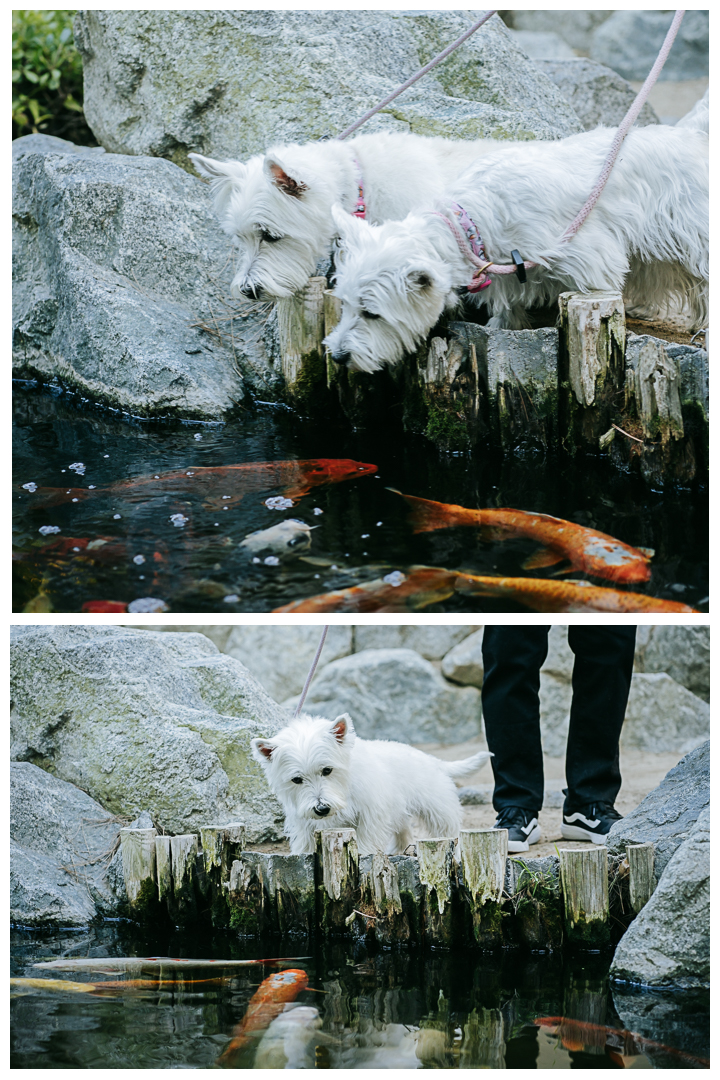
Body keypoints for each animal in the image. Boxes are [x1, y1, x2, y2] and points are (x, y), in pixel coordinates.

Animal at [250, 712, 492, 855]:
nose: (321, 809)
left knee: (449, 828)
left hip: (436, 807)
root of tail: (431, 759)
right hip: (400, 809)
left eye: (327, 770)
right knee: (404, 829)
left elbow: (367, 839)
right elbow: (305, 843)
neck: (345, 788)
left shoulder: (371, 813)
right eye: (297, 780)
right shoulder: (303, 821)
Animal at [325, 123, 708, 371]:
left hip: (688, 227)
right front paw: (501, 328)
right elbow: (507, 307)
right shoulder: (506, 271)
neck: (469, 225)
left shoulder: (588, 257)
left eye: (372, 313)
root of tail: (693, 137)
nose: (338, 356)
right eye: (345, 304)